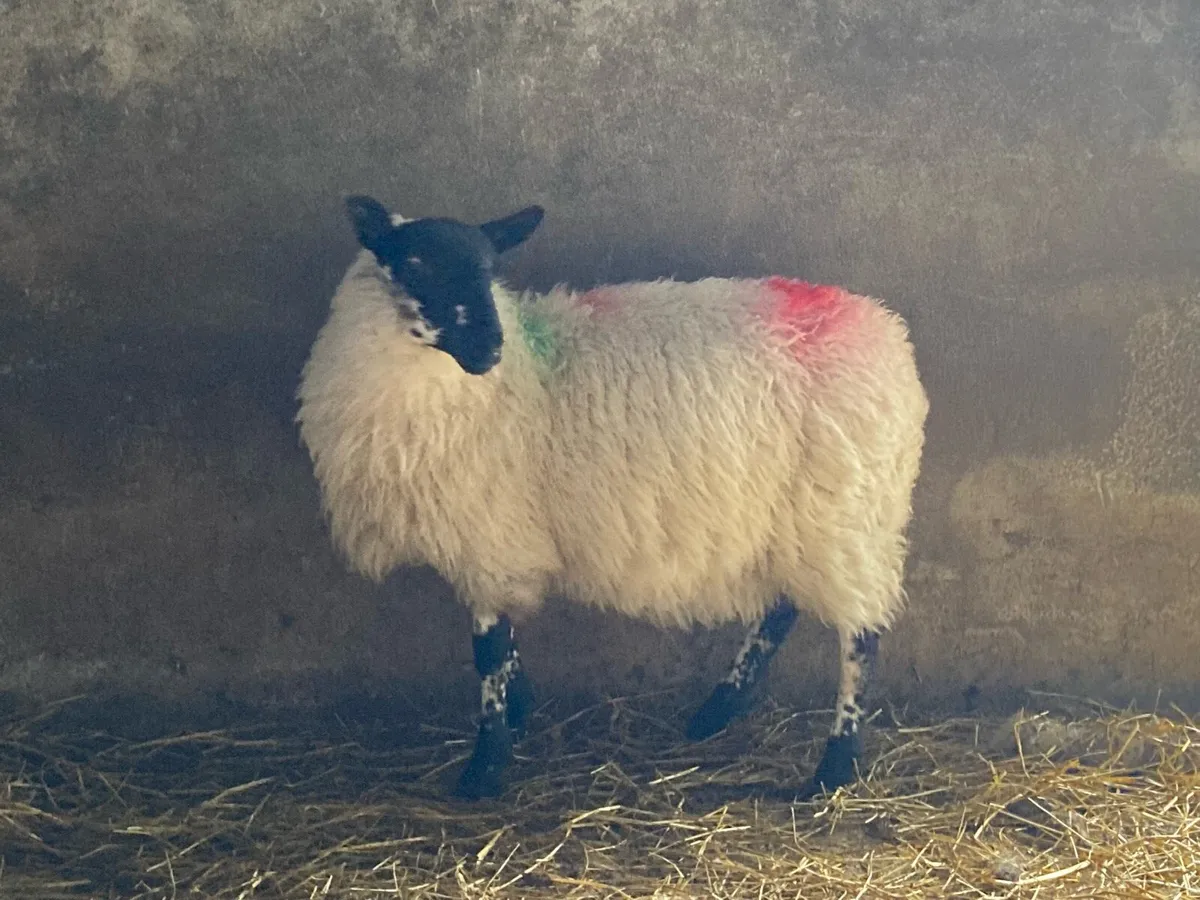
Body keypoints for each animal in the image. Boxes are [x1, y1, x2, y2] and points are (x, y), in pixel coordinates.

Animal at [296, 195, 930, 801]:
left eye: (489, 266)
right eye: (414, 263)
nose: (488, 348)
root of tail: (887, 336)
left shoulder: (488, 534)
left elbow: (488, 652)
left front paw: (486, 766)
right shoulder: (496, 540)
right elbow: (505, 648)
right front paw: (520, 712)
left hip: (847, 509)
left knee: (860, 636)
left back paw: (833, 765)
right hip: (795, 515)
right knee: (782, 608)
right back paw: (718, 710)